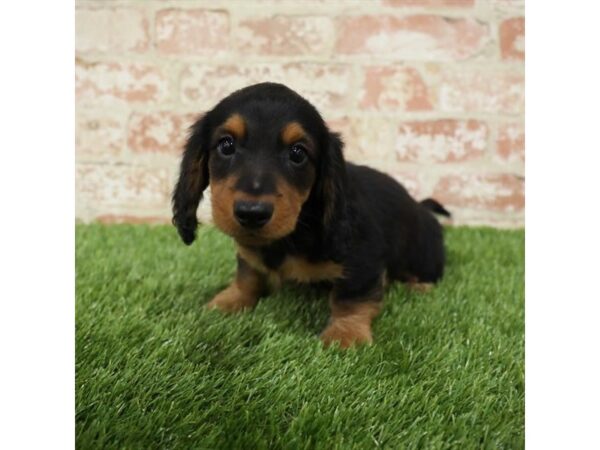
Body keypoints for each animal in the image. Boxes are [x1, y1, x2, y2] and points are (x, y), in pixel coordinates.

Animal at [171, 82, 448, 350]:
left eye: (298, 153)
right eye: (226, 145)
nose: (252, 213)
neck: (292, 234)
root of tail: (421, 206)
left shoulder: (363, 258)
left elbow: (350, 297)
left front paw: (345, 335)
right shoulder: (250, 251)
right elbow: (248, 274)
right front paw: (229, 300)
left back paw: (418, 285)